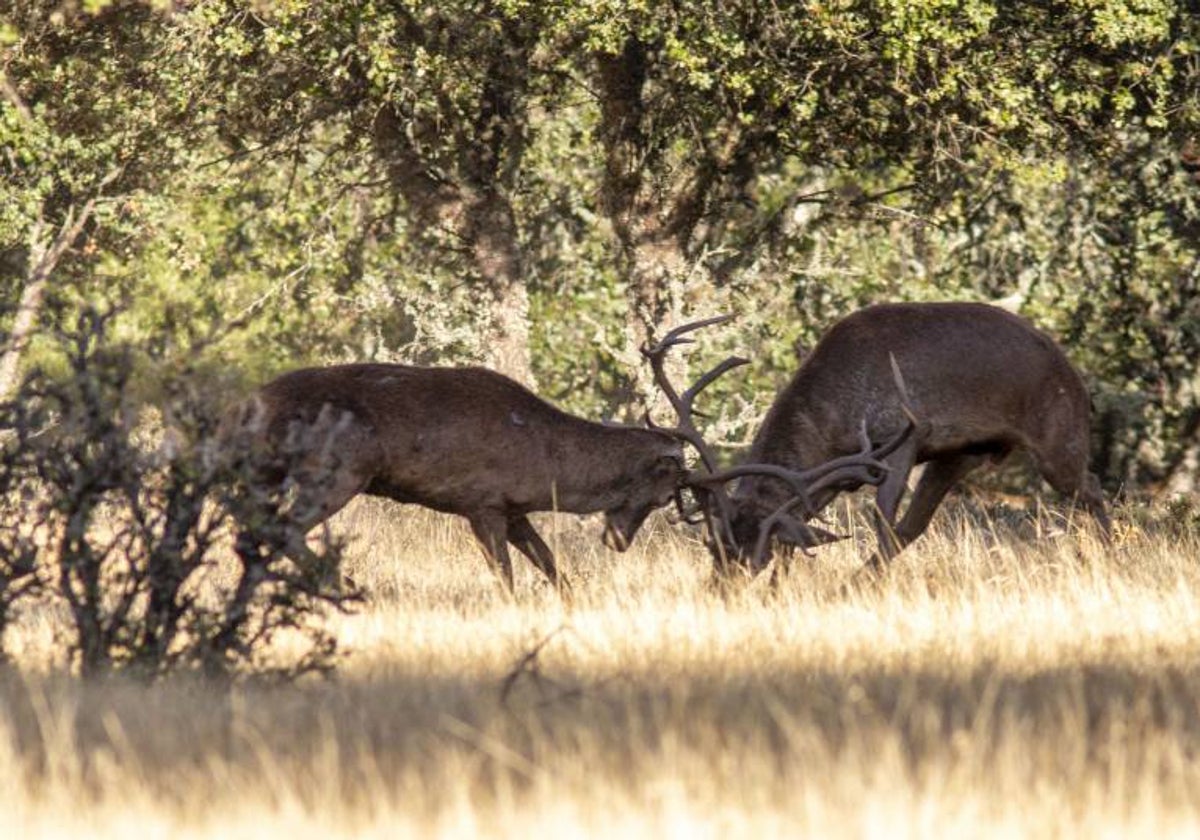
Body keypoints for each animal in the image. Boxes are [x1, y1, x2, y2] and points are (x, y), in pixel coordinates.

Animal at [225, 362, 691, 597]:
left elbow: (551, 565)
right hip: (338, 467)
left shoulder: (513, 508)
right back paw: (349, 586)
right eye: (666, 496)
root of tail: (249, 408)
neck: (546, 465)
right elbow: (506, 577)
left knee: (249, 527)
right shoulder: (481, 502)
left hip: (269, 470)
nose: (618, 541)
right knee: (282, 528)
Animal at [652, 304, 1108, 580]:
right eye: (713, 546)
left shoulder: (902, 437)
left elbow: (882, 518)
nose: (722, 590)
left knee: (1093, 487)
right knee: (915, 525)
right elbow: (803, 526)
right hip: (959, 455)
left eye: (755, 558)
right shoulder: (835, 475)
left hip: (1057, 439)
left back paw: (1112, 555)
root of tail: (1079, 382)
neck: (830, 421)